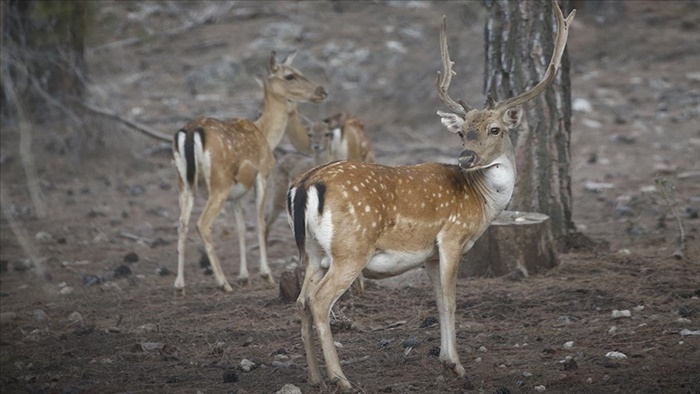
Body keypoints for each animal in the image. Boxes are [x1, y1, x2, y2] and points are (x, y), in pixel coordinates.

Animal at [175, 51, 328, 292]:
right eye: (290, 75)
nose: (322, 91)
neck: (265, 134)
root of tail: (190, 133)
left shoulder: (237, 193)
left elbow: (240, 228)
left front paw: (244, 276)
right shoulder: (262, 174)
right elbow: (259, 222)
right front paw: (266, 274)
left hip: (184, 182)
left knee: (181, 223)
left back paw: (180, 285)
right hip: (219, 182)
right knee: (203, 223)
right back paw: (223, 283)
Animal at [286, 2, 576, 390]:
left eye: (494, 129)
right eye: (463, 132)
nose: (466, 158)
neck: (482, 201)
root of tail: (306, 184)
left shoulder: (429, 255)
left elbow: (438, 302)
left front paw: (445, 361)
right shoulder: (452, 237)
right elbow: (452, 301)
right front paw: (458, 366)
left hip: (313, 252)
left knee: (301, 300)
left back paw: (316, 378)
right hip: (351, 249)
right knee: (319, 302)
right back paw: (341, 379)